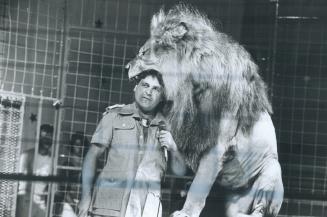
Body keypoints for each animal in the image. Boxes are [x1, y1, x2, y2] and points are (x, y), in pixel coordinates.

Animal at [125, 3, 284, 217]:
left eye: (143, 53)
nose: (127, 66)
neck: (190, 90)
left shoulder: (217, 145)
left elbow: (199, 186)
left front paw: (185, 212)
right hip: (234, 202)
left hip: (271, 171)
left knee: (260, 208)